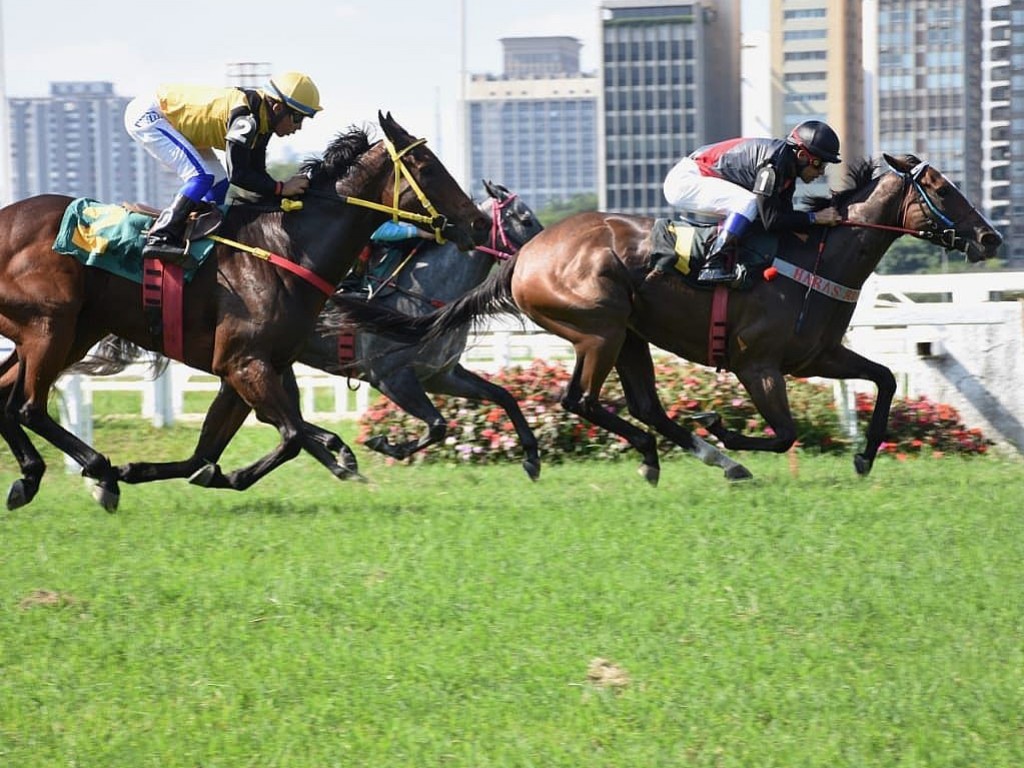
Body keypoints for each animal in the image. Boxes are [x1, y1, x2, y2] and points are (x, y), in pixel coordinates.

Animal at [0, 112, 491, 512]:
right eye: (427, 167)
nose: (479, 223)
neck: (286, 248)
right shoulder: (245, 364)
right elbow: (290, 436)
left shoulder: (247, 369)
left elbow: (209, 452)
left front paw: (160, 471)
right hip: (50, 327)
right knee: (28, 407)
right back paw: (98, 471)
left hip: (64, 332)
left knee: (8, 400)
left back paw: (35, 477)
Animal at [301, 180, 548, 479]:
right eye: (525, 219)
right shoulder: (391, 377)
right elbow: (438, 424)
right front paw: (384, 443)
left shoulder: (440, 375)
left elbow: (503, 395)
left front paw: (532, 457)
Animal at [333, 153, 999, 483]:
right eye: (943, 188)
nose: (989, 237)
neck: (813, 256)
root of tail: (528, 254)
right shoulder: (759, 364)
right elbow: (785, 431)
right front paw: (723, 425)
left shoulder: (817, 355)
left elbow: (883, 379)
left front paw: (863, 455)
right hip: (598, 329)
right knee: (580, 400)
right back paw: (694, 454)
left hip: (628, 334)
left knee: (640, 406)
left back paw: (693, 458)